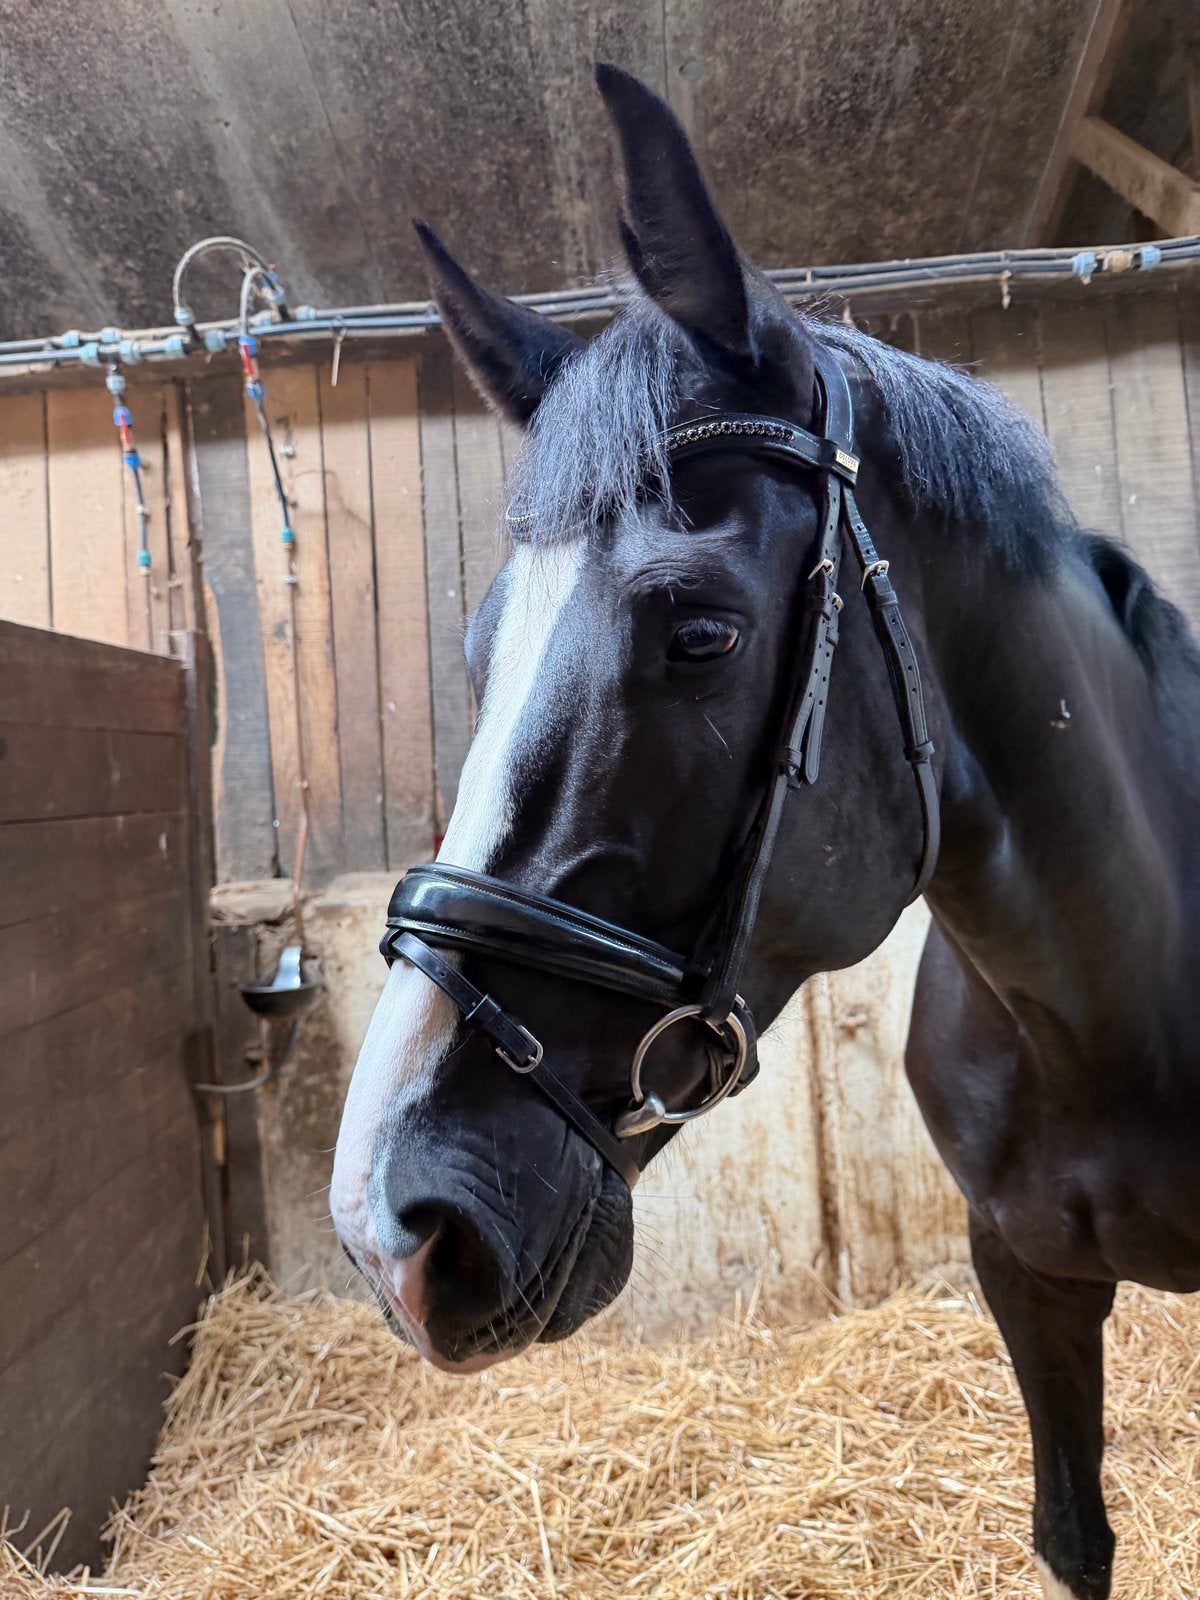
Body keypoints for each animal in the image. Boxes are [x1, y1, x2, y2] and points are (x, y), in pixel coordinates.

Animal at [331, 64, 1200, 1600]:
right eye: (481, 649)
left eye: (702, 634)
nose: (392, 1230)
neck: (1103, 1009)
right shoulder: (1024, 1275)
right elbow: (1072, 1534)